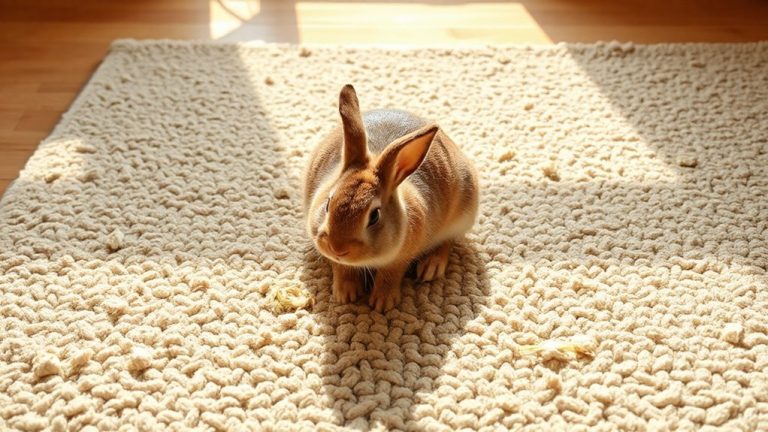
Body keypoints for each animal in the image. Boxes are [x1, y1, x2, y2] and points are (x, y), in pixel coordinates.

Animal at [303, 84, 479, 312]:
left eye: (374, 216)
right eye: (327, 203)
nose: (337, 248)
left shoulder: (400, 258)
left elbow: (390, 275)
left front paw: (382, 303)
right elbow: (342, 269)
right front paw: (346, 294)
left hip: (461, 215)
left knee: (447, 241)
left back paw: (431, 267)